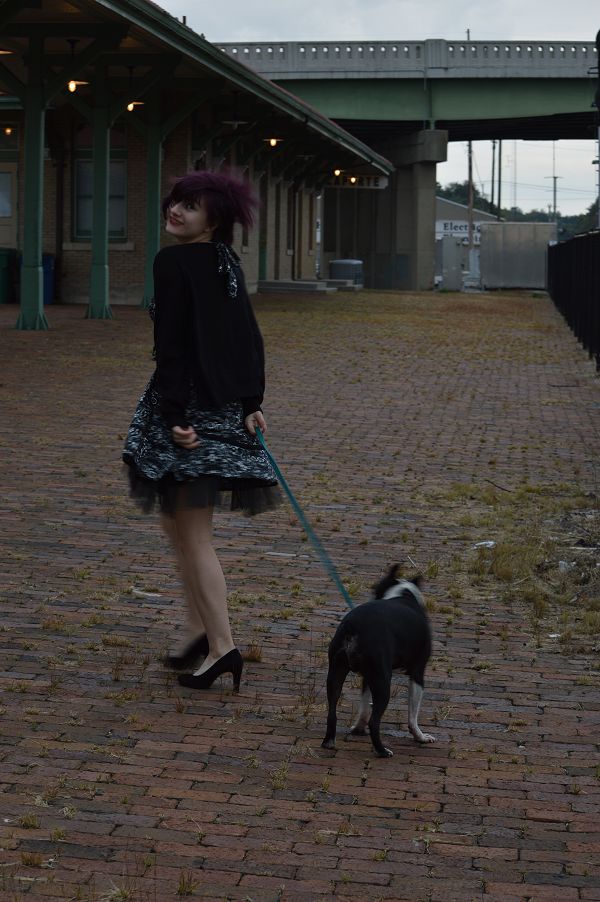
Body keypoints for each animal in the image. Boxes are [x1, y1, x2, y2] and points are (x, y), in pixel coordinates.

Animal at [321, 564, 435, 757]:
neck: (402, 594)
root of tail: (353, 628)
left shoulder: (368, 676)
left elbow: (364, 707)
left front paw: (358, 729)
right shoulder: (417, 672)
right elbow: (413, 714)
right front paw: (420, 737)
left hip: (336, 673)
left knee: (332, 711)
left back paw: (329, 742)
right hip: (383, 682)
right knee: (375, 722)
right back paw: (382, 751)